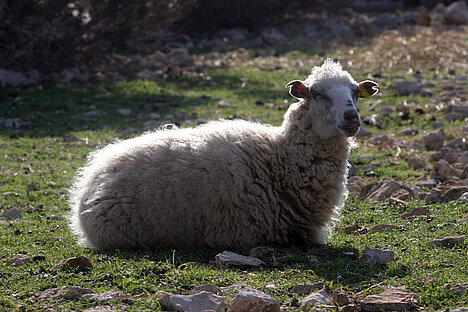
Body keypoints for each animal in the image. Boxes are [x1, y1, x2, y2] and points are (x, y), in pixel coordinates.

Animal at [68, 58, 376, 250]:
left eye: (355, 93)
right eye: (315, 93)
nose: (351, 118)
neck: (279, 159)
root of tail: (90, 179)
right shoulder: (241, 232)